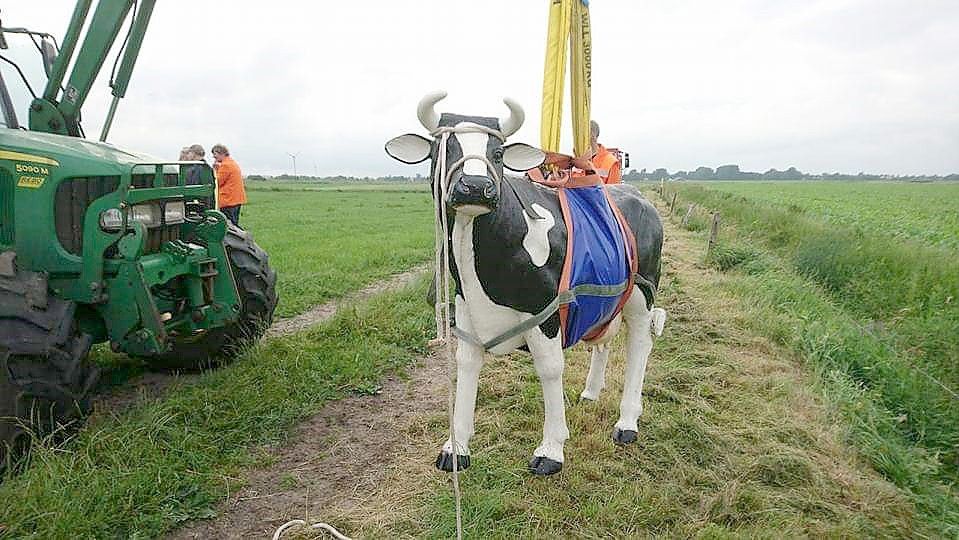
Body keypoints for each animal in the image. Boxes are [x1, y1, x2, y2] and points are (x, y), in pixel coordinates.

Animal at [386, 93, 664, 476]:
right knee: (604, 339)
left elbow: (549, 369)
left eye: (498, 153)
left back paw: (627, 422)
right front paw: (456, 447)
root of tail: (635, 194)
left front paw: (551, 449)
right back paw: (591, 392)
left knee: (640, 343)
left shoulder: (544, 309)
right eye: (443, 149)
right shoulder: (466, 305)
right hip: (610, 297)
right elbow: (466, 364)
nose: (475, 186)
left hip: (642, 290)